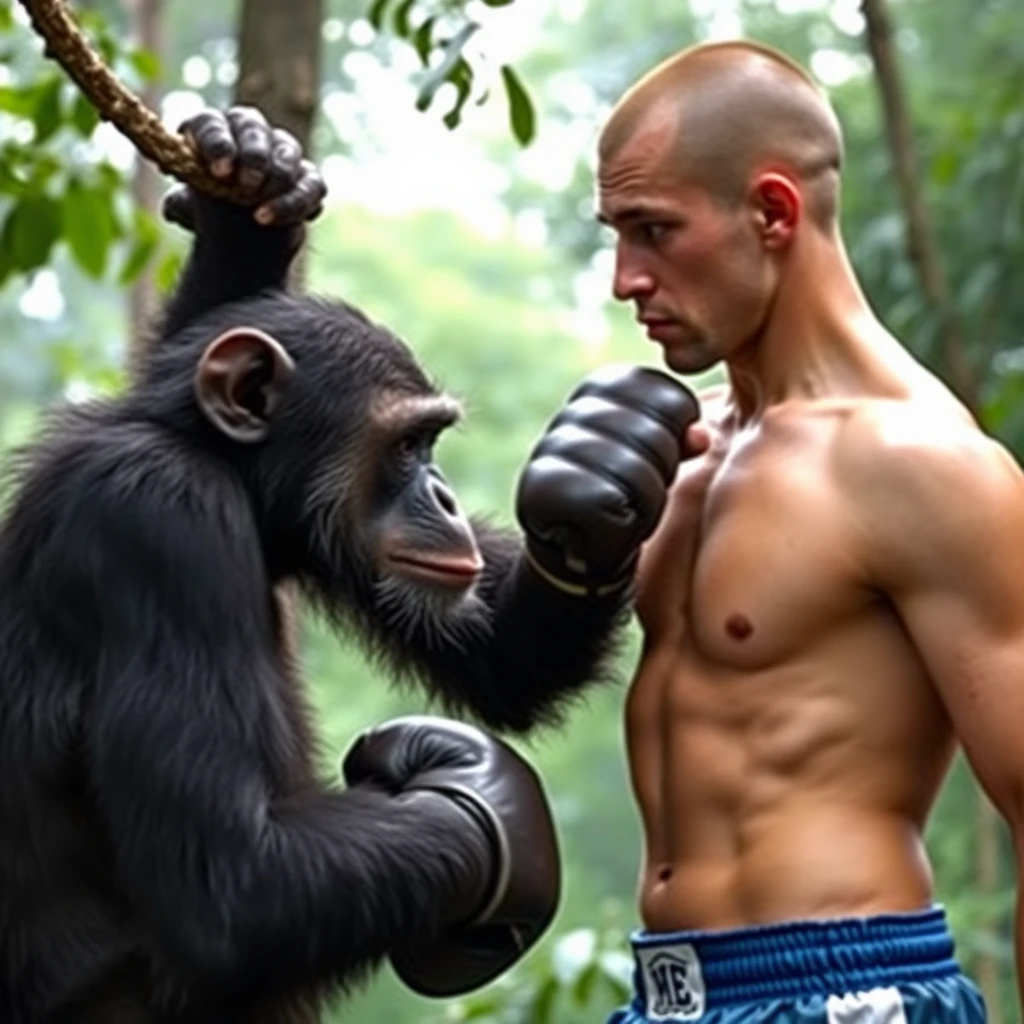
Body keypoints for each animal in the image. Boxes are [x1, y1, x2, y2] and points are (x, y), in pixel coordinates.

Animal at [0, 108, 700, 1019]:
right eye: (407, 445)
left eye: (432, 444)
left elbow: (501, 658)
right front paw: (488, 804)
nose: (441, 495)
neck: (223, 466)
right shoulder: (153, 522)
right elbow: (232, 885)